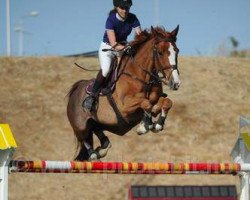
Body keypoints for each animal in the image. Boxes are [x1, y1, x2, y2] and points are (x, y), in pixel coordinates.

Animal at [66, 25, 181, 161]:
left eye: (177, 51)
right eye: (160, 52)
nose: (175, 82)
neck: (141, 77)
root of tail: (75, 90)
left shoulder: (155, 102)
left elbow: (166, 102)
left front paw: (157, 125)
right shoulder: (124, 107)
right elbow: (145, 103)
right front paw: (144, 126)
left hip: (96, 122)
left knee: (96, 129)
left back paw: (102, 149)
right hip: (80, 125)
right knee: (83, 137)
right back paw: (93, 153)